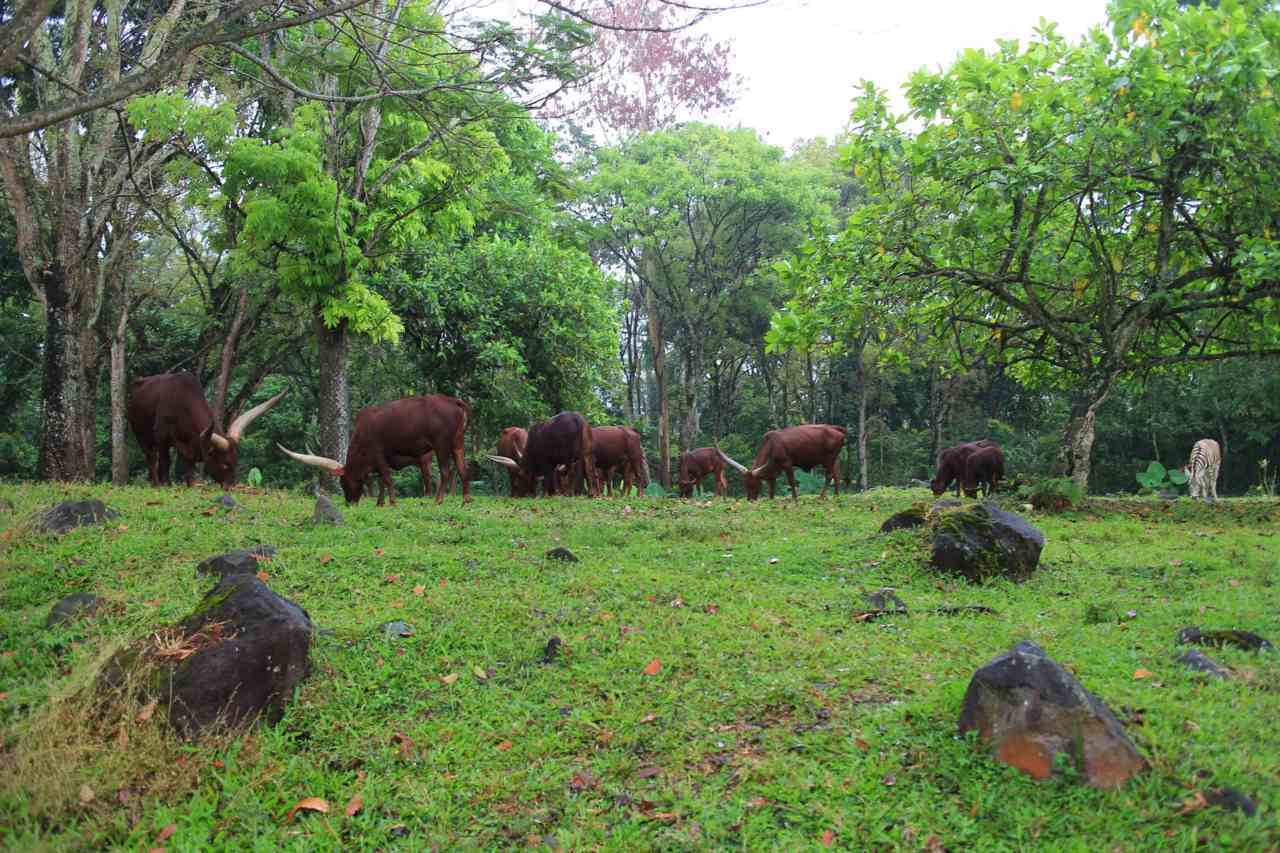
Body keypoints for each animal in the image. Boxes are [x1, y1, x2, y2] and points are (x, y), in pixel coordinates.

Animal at [125, 371, 285, 489]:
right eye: (225, 464)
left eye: (236, 462)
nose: (230, 486)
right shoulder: (162, 437)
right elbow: (165, 461)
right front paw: (165, 485)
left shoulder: (188, 445)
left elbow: (189, 466)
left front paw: (190, 485)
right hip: (141, 434)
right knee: (151, 457)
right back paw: (154, 482)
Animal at [277, 394, 473, 504]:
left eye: (344, 482)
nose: (350, 502)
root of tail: (454, 401)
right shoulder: (381, 459)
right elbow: (381, 480)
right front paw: (380, 502)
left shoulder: (378, 453)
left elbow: (386, 478)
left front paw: (392, 502)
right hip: (458, 443)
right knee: (463, 470)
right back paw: (466, 499)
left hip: (441, 445)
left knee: (445, 472)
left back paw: (438, 500)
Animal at [721, 422, 849, 499]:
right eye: (745, 485)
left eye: (754, 484)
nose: (750, 500)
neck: (771, 444)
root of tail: (836, 429)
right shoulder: (774, 468)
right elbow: (772, 483)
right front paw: (771, 498)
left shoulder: (787, 464)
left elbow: (791, 482)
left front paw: (795, 499)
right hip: (834, 459)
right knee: (837, 475)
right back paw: (836, 495)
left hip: (828, 459)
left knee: (829, 476)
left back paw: (821, 497)